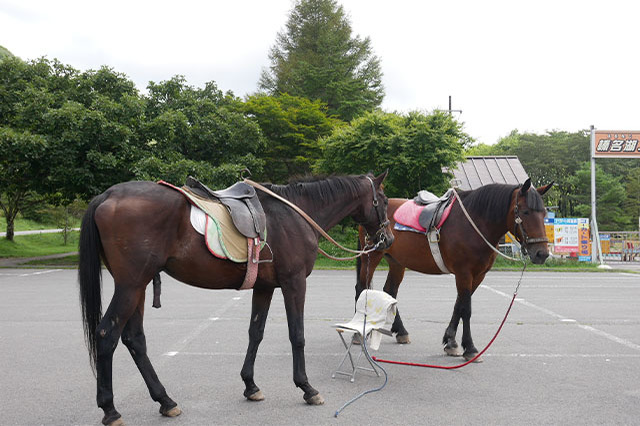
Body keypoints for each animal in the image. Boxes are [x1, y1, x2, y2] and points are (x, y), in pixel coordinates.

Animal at [77, 171, 392, 424]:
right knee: (106, 335)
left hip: (138, 287)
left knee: (135, 340)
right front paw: (306, 388)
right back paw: (110, 409)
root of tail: (107, 196)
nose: (387, 239)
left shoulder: (264, 287)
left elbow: (256, 332)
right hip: (131, 285)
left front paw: (250, 385)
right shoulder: (294, 283)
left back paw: (165, 401)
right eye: (384, 200)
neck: (295, 214)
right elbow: (297, 335)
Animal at [356, 178, 552, 362]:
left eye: (544, 213)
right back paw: (359, 333)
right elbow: (466, 309)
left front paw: (451, 342)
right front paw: (470, 348)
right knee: (361, 287)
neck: (474, 223)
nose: (541, 253)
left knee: (390, 291)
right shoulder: (464, 273)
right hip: (372, 256)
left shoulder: (478, 275)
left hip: (397, 263)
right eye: (525, 212)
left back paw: (401, 331)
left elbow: (459, 305)